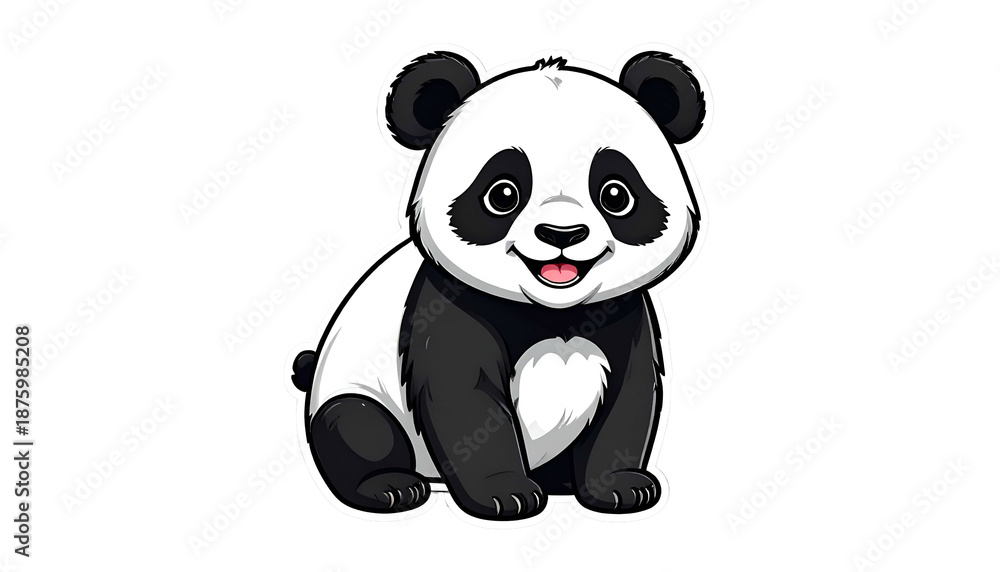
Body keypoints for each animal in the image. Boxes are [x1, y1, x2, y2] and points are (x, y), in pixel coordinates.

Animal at [291, 50, 706, 521]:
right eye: (502, 194)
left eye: (616, 195)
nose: (562, 234)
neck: (552, 313)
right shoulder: (450, 307)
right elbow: (465, 401)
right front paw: (505, 495)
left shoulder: (625, 314)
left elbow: (629, 399)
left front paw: (620, 487)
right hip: (352, 390)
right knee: (359, 426)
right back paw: (390, 487)